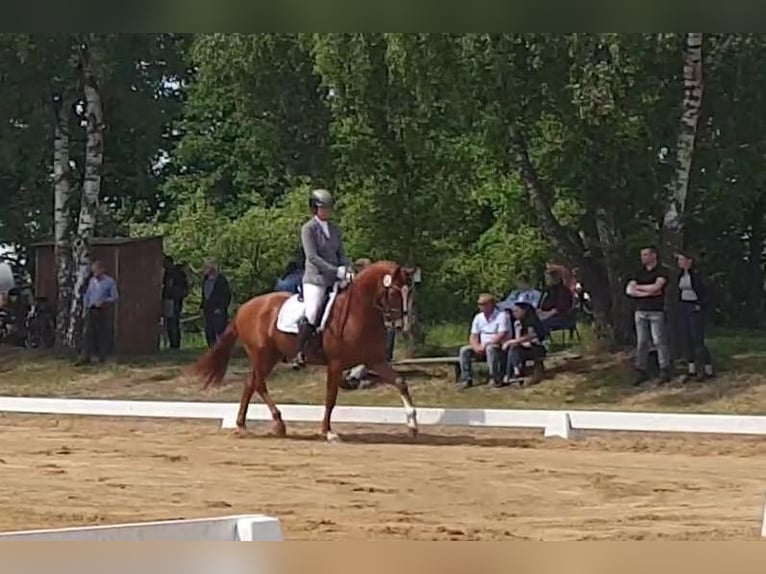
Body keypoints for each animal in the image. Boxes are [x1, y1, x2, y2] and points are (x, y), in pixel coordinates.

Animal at [192, 264, 420, 444]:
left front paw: (413, 425)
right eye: (394, 293)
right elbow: (331, 397)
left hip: (270, 357)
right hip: (262, 355)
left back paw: (246, 425)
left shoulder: (374, 361)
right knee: (257, 384)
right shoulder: (335, 364)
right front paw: (328, 432)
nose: (401, 326)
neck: (359, 312)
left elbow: (400, 381)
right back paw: (274, 423)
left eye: (410, 294)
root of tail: (244, 308)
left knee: (251, 383)